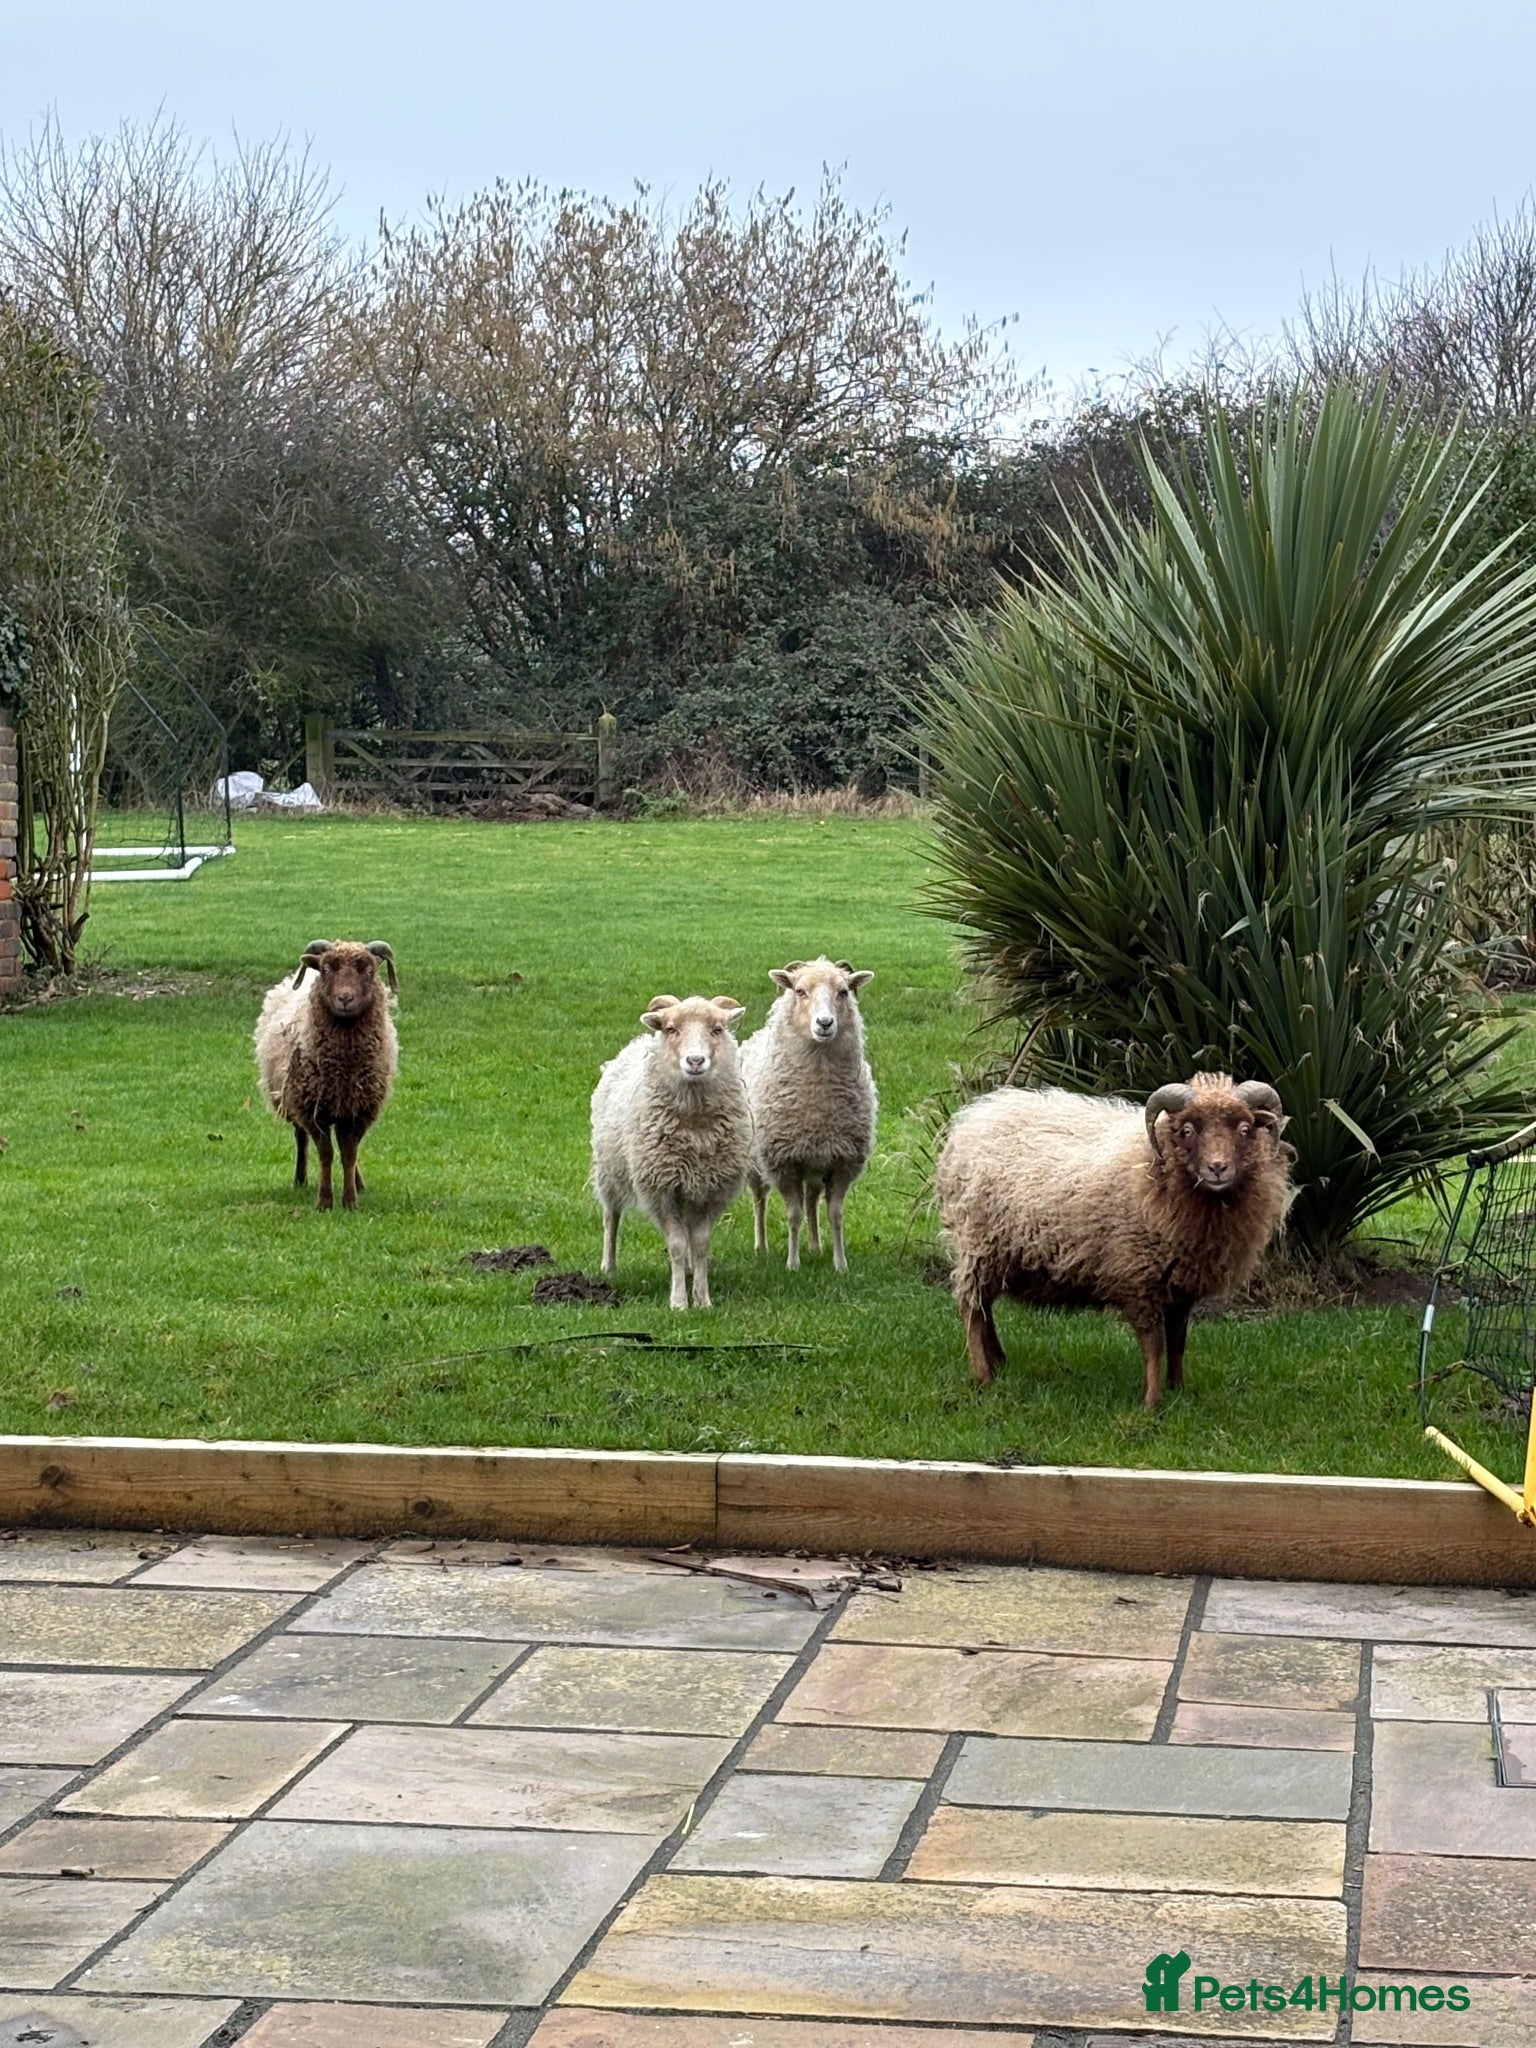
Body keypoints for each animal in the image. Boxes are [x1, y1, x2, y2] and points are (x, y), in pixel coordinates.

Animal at [255, 939, 399, 1211]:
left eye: (368, 970)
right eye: (327, 969)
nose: (345, 998)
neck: (344, 1070)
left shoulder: (360, 1110)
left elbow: (349, 1154)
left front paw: (350, 1200)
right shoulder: (313, 1109)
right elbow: (326, 1154)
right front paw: (324, 1201)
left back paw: (358, 1183)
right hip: (294, 1098)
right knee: (301, 1138)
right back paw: (300, 1179)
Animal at [591, 994, 751, 1308]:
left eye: (717, 1029)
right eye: (671, 1029)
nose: (695, 1060)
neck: (695, 1126)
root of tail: (639, 1041)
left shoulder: (712, 1188)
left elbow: (699, 1243)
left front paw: (702, 1298)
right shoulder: (661, 1188)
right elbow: (676, 1244)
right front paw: (678, 1301)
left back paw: (688, 1269)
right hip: (609, 1171)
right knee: (611, 1216)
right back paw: (609, 1265)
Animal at [740, 957, 877, 1272]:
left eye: (843, 992)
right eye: (800, 991)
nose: (824, 1023)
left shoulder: (843, 1161)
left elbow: (835, 1215)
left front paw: (840, 1264)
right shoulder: (784, 1163)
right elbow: (793, 1215)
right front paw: (792, 1264)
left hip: (816, 1163)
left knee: (812, 1199)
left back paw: (815, 1245)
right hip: (756, 1164)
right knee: (759, 1200)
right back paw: (761, 1245)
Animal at [935, 1071, 1293, 1407]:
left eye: (1244, 1128)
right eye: (1188, 1130)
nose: (1218, 1168)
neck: (1155, 1166)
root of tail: (973, 1118)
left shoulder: (1181, 1283)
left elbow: (1178, 1340)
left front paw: (1178, 1390)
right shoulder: (1139, 1277)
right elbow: (1154, 1345)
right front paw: (1152, 1402)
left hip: (1000, 1251)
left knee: (985, 1308)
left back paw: (1000, 1362)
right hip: (979, 1243)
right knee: (971, 1309)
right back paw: (984, 1376)